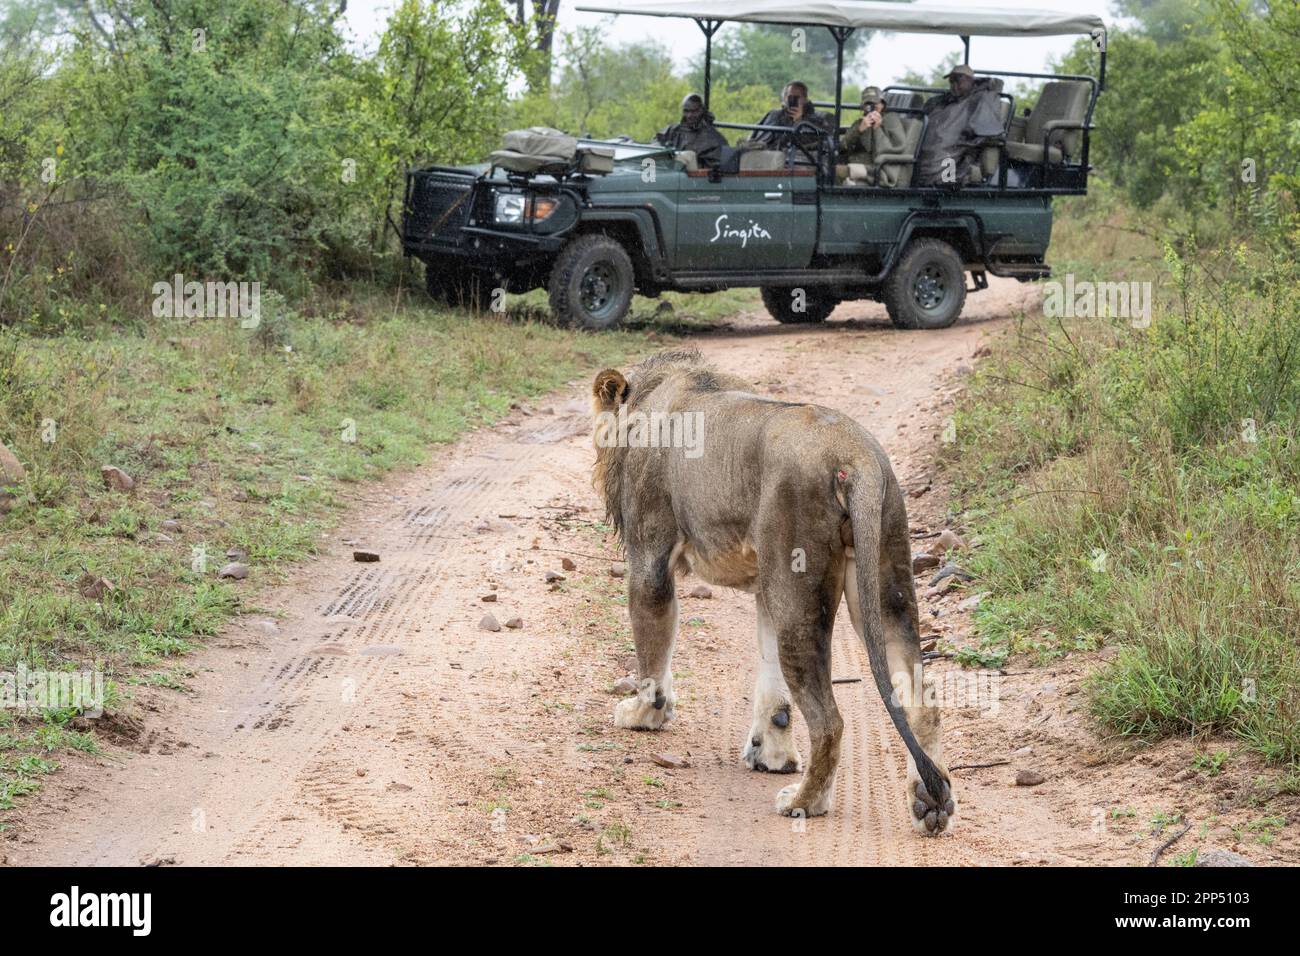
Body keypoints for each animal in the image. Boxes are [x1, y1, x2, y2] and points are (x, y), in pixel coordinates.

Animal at [592, 348, 956, 832]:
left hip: (799, 591)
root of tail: (854, 455)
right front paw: (773, 755)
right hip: (882, 577)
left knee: (830, 721)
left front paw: (643, 714)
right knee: (921, 699)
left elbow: (653, 651)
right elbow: (770, 682)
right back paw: (929, 804)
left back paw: (804, 801)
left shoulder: (649, 556)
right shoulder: (767, 588)